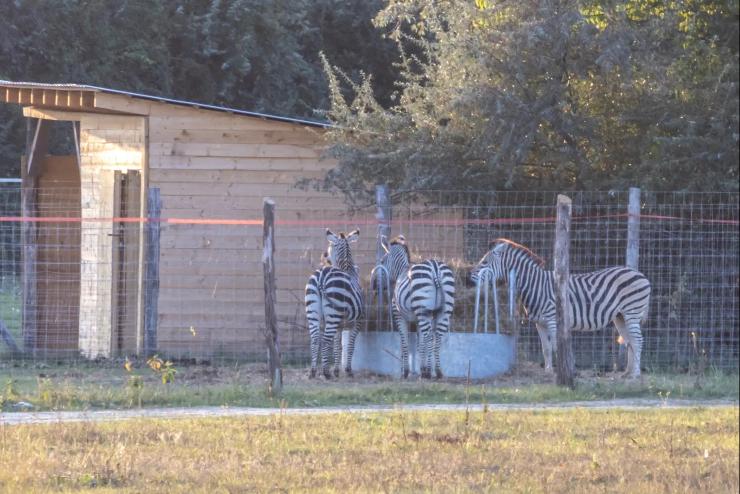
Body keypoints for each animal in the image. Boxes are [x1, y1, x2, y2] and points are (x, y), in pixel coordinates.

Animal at [304, 229, 366, 378]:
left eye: (329, 247)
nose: (324, 257)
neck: (348, 269)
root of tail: (322, 276)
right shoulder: (357, 321)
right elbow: (350, 345)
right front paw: (348, 370)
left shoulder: (340, 324)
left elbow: (338, 346)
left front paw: (337, 371)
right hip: (333, 315)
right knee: (325, 339)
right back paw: (326, 372)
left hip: (314, 311)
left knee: (315, 338)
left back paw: (313, 371)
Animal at [376, 235, 456, 378]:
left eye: (382, 261)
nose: (376, 285)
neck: (401, 271)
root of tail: (435, 268)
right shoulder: (420, 319)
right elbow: (420, 344)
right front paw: (422, 368)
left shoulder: (399, 315)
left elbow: (404, 342)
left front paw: (406, 372)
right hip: (443, 311)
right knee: (437, 337)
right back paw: (438, 371)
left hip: (423, 308)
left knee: (430, 336)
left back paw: (429, 372)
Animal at [472, 239, 652, 378]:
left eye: (485, 262)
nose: (469, 277)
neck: (536, 286)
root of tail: (640, 274)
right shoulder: (539, 323)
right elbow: (545, 349)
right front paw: (548, 372)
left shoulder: (553, 319)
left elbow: (555, 347)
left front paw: (560, 372)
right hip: (620, 316)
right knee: (629, 341)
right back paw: (627, 373)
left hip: (632, 311)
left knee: (637, 340)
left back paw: (636, 374)